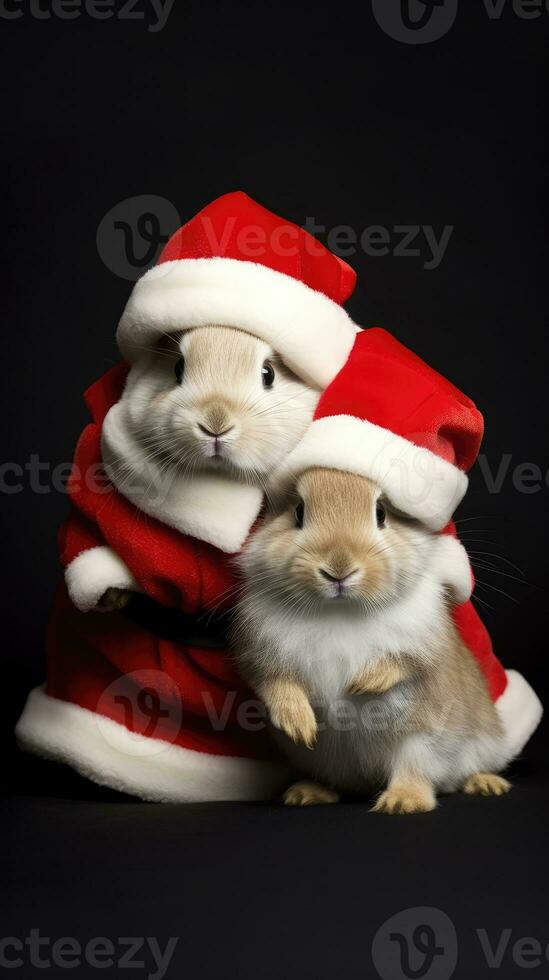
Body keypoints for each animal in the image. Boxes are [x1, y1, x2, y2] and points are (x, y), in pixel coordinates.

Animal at [233, 468, 512, 812]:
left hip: (429, 741)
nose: (338, 570)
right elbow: (275, 685)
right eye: (298, 512)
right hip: (326, 760)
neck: (339, 610)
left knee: (422, 771)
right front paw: (299, 725)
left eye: (381, 513)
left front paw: (363, 683)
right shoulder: (259, 656)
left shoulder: (423, 648)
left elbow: (403, 663)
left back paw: (420, 798)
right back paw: (307, 793)